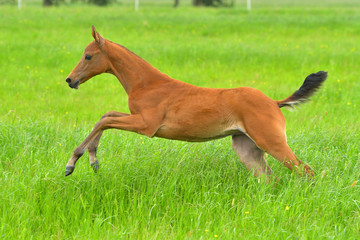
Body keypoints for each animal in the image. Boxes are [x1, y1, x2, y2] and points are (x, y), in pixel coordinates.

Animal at [64, 27, 326, 179]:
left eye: (88, 56)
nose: (70, 80)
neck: (148, 84)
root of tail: (273, 102)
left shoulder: (146, 126)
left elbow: (105, 120)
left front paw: (74, 162)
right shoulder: (137, 119)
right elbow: (105, 116)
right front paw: (91, 161)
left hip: (272, 141)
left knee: (306, 170)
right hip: (246, 148)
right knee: (269, 178)